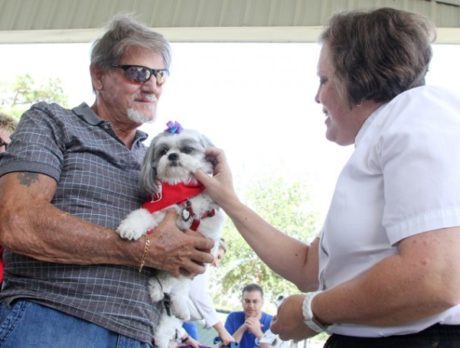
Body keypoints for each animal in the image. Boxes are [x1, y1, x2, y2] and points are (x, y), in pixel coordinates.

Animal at [115, 121, 223, 348]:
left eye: (187, 149)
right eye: (163, 151)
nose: (172, 156)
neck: (181, 192)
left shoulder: (204, 236)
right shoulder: (157, 211)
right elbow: (140, 215)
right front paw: (130, 228)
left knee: (176, 291)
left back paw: (176, 306)